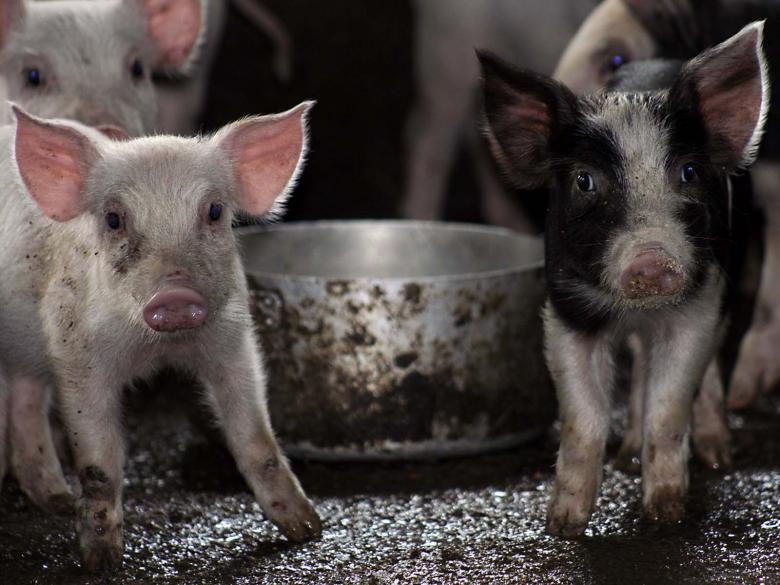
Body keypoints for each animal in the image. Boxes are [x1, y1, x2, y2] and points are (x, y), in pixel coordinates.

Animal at [0, 101, 321, 570]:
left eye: (214, 211)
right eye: (114, 219)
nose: (175, 296)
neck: (159, 351)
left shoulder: (232, 341)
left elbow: (255, 438)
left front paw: (307, 529)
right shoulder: (76, 354)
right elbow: (99, 464)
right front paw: (102, 562)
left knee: (24, 398)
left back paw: (55, 500)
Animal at [479, 21, 769, 535]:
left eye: (688, 172)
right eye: (585, 180)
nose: (652, 260)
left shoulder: (699, 303)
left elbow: (669, 406)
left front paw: (666, 514)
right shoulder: (567, 309)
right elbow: (583, 418)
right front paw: (563, 525)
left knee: (705, 372)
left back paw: (717, 455)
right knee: (639, 364)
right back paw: (627, 455)